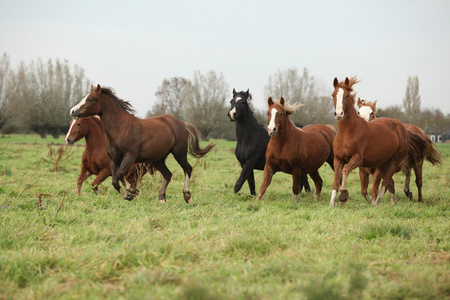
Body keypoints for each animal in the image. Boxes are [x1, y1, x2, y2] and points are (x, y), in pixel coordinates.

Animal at [69, 84, 215, 204]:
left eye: (90, 99)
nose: (72, 111)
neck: (120, 128)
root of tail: (179, 123)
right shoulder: (113, 160)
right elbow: (115, 180)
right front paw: (129, 195)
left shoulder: (130, 156)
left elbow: (120, 175)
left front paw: (133, 190)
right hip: (158, 159)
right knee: (168, 174)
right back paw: (161, 198)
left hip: (179, 153)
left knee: (187, 169)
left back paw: (187, 196)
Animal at [328, 76, 414, 205]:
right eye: (333, 95)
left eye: (347, 95)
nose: (339, 113)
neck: (348, 132)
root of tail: (401, 127)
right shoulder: (338, 159)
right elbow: (336, 180)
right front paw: (332, 203)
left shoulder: (357, 158)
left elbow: (345, 171)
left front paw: (343, 194)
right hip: (383, 163)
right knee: (390, 183)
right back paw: (391, 202)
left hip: (395, 160)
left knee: (385, 183)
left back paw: (376, 203)